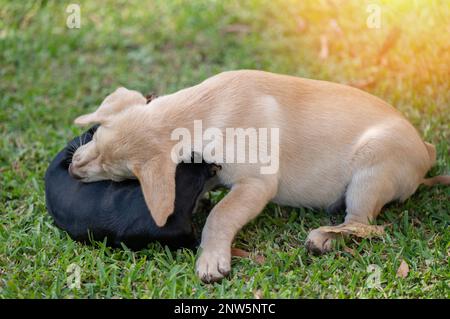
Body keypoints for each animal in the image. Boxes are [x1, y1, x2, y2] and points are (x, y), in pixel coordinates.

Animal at [71, 69, 450, 282]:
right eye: (95, 136)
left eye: (119, 177)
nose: (72, 169)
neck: (201, 109)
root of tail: (427, 153)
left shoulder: (256, 185)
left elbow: (221, 215)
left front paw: (212, 257)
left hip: (369, 172)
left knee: (366, 226)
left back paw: (325, 237)